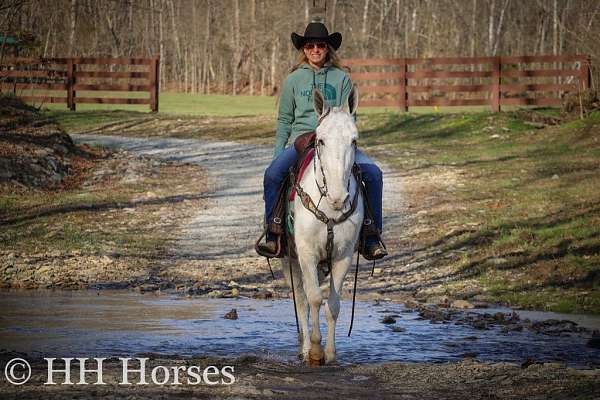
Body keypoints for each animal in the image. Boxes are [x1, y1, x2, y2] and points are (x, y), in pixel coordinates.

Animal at [282, 85, 364, 366]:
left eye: (354, 140)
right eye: (321, 140)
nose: (340, 197)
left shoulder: (342, 256)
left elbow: (333, 305)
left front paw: (330, 353)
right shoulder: (306, 254)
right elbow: (315, 300)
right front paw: (315, 351)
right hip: (290, 260)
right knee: (302, 301)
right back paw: (304, 347)